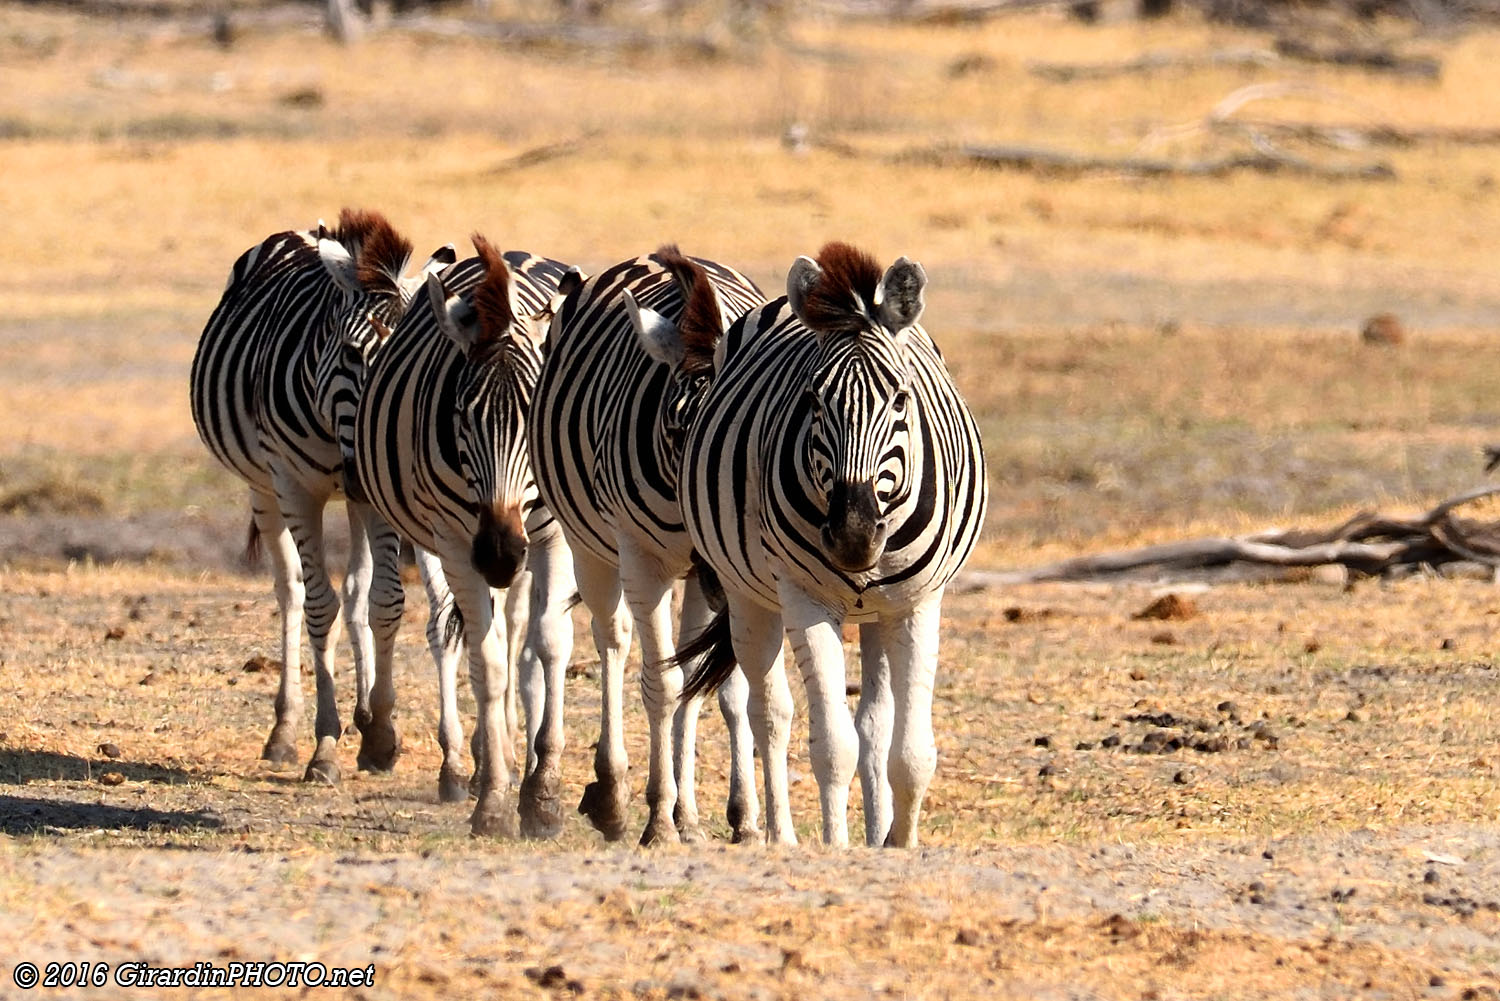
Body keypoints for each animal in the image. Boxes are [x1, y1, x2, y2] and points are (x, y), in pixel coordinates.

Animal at [186, 211, 450, 786]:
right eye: (351, 352)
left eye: (403, 364)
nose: (360, 472)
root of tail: (302, 231)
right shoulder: (292, 485)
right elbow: (318, 604)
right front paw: (324, 746)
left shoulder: (373, 492)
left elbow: (385, 601)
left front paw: (381, 734)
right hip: (264, 488)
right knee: (290, 591)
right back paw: (284, 731)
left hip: (353, 500)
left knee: (356, 589)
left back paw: (366, 714)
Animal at [352, 235, 579, 840]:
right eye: (460, 412)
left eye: (534, 415)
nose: (499, 554)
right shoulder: (456, 541)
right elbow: (488, 663)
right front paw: (496, 800)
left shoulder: (554, 537)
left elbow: (549, 644)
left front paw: (543, 792)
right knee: (449, 627)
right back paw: (469, 761)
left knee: (520, 629)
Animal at [528, 249, 762, 846]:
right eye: (677, 429)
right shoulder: (644, 559)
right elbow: (663, 683)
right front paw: (658, 818)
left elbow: (720, 687)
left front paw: (736, 817)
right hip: (590, 546)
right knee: (611, 639)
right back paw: (606, 793)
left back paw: (689, 812)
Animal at [678, 240, 984, 846]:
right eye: (814, 402)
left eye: (900, 400)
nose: (853, 534)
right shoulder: (804, 596)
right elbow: (832, 746)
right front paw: (837, 846)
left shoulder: (918, 603)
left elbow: (910, 752)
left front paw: (897, 841)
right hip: (747, 593)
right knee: (768, 712)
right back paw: (779, 835)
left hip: (878, 612)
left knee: (874, 723)